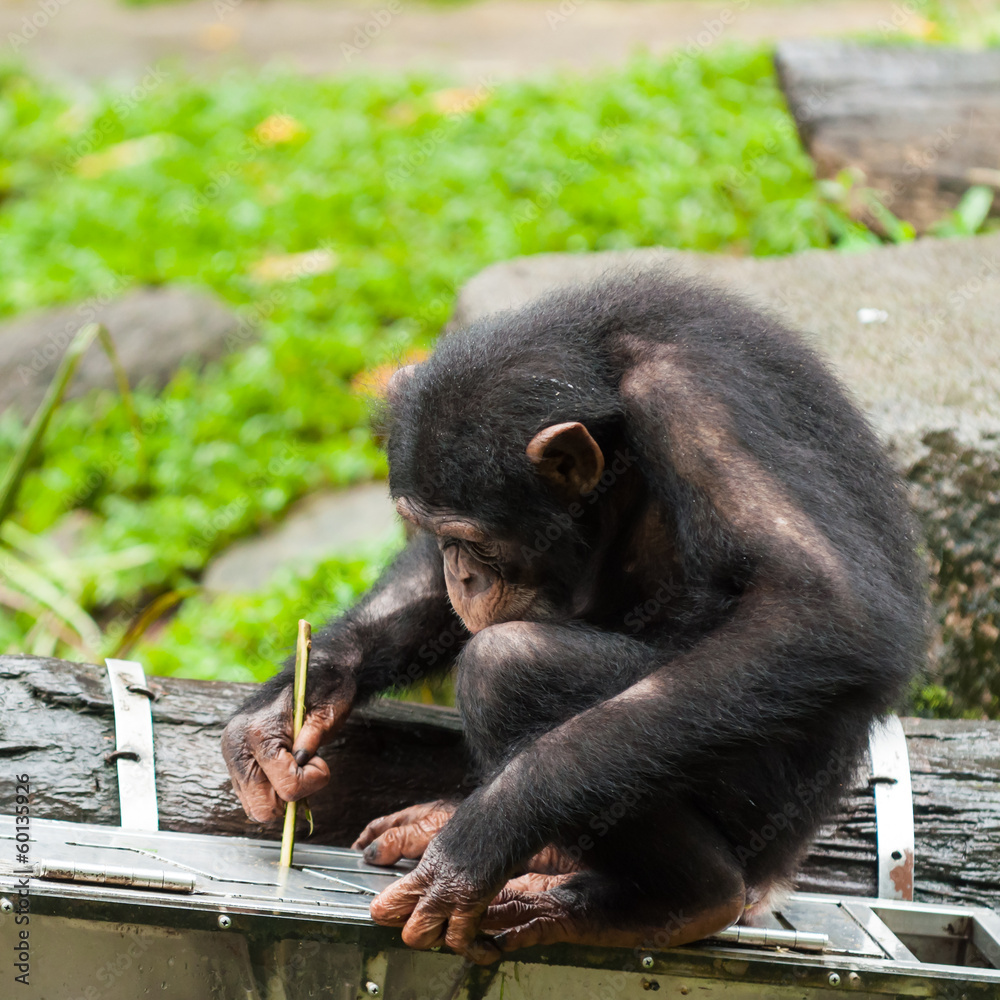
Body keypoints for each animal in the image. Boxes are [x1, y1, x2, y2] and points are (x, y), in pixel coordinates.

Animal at [223, 266, 924, 960]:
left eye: (475, 541)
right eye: (436, 534)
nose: (461, 574)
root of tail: (785, 864)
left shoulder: (699, 401)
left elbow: (818, 605)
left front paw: (483, 837)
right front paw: (291, 705)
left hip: (763, 804)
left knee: (507, 666)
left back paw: (675, 898)